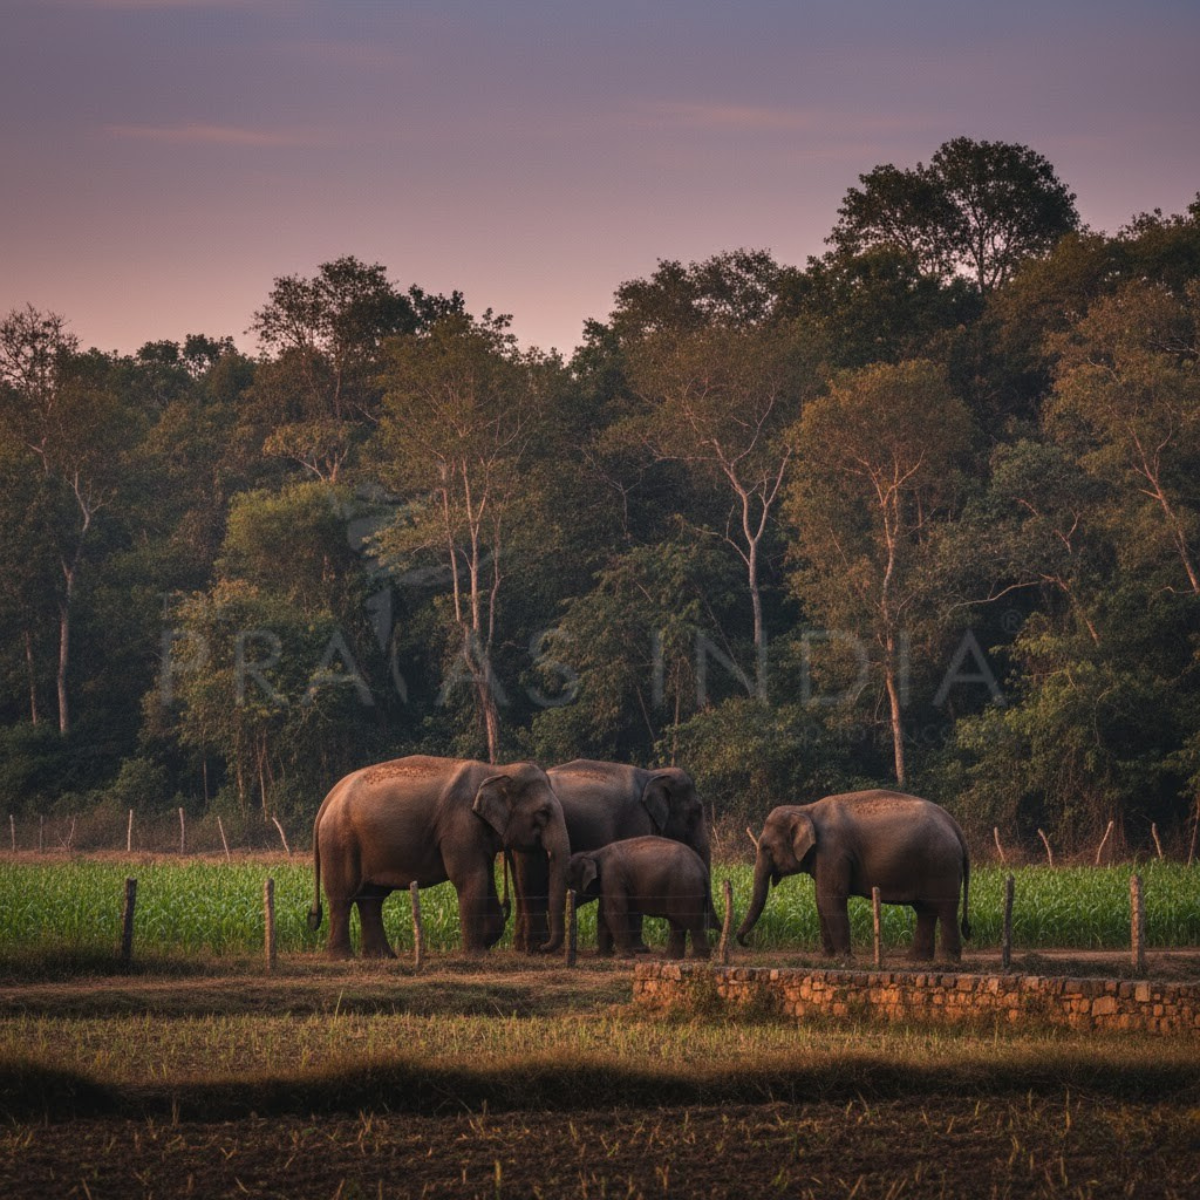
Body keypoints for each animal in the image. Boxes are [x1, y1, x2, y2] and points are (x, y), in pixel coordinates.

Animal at [308, 755, 570, 958]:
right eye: (543, 813)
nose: (544, 947)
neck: (495, 770)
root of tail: (330, 795)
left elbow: (485, 878)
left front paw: (486, 942)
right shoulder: (460, 824)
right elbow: (471, 878)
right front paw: (476, 955)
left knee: (372, 898)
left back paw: (383, 956)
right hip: (340, 841)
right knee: (343, 895)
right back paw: (343, 957)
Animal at [567, 836, 712, 960]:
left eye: (569, 883)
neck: (593, 853)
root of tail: (702, 867)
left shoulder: (612, 876)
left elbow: (614, 912)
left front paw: (622, 957)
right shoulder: (606, 884)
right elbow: (603, 913)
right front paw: (604, 955)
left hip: (686, 888)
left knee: (692, 921)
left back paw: (698, 957)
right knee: (677, 921)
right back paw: (671, 957)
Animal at [737, 790, 971, 961]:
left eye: (767, 848)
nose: (746, 942)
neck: (804, 809)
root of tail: (955, 826)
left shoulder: (832, 851)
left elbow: (831, 897)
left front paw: (845, 959)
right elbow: (820, 899)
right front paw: (827, 957)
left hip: (942, 866)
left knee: (945, 908)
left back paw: (947, 962)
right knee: (925, 909)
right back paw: (916, 959)